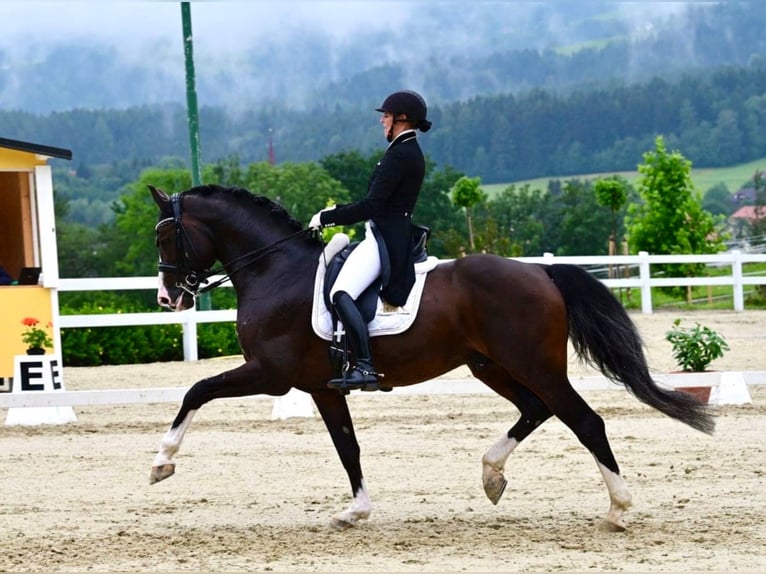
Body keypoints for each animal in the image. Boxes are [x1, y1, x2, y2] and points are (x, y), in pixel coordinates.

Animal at [148, 183, 712, 532]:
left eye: (165, 235)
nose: (168, 298)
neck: (274, 270)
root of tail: (540, 271)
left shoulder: (270, 375)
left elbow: (196, 390)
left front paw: (161, 463)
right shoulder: (319, 387)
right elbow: (347, 447)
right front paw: (355, 512)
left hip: (533, 363)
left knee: (584, 420)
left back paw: (617, 511)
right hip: (490, 365)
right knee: (537, 409)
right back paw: (491, 475)